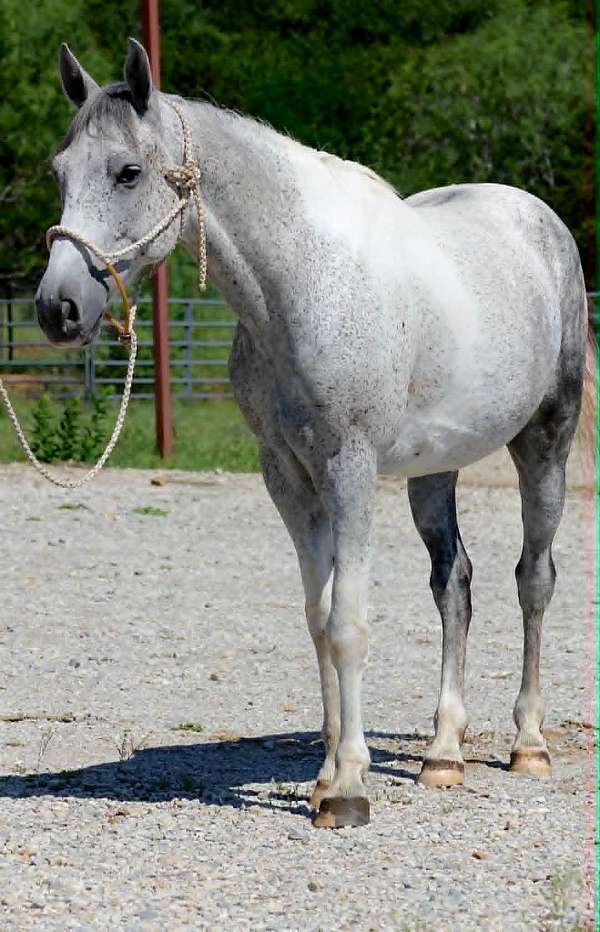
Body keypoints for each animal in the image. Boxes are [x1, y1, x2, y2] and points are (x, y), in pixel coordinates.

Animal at [35, 39, 589, 828]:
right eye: (59, 172)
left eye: (128, 172)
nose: (58, 308)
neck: (300, 283)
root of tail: (540, 221)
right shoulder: (286, 474)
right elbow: (318, 617)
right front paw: (326, 776)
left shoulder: (348, 469)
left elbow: (349, 623)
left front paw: (351, 788)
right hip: (435, 470)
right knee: (454, 584)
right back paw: (442, 753)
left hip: (545, 442)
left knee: (533, 581)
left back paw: (528, 744)